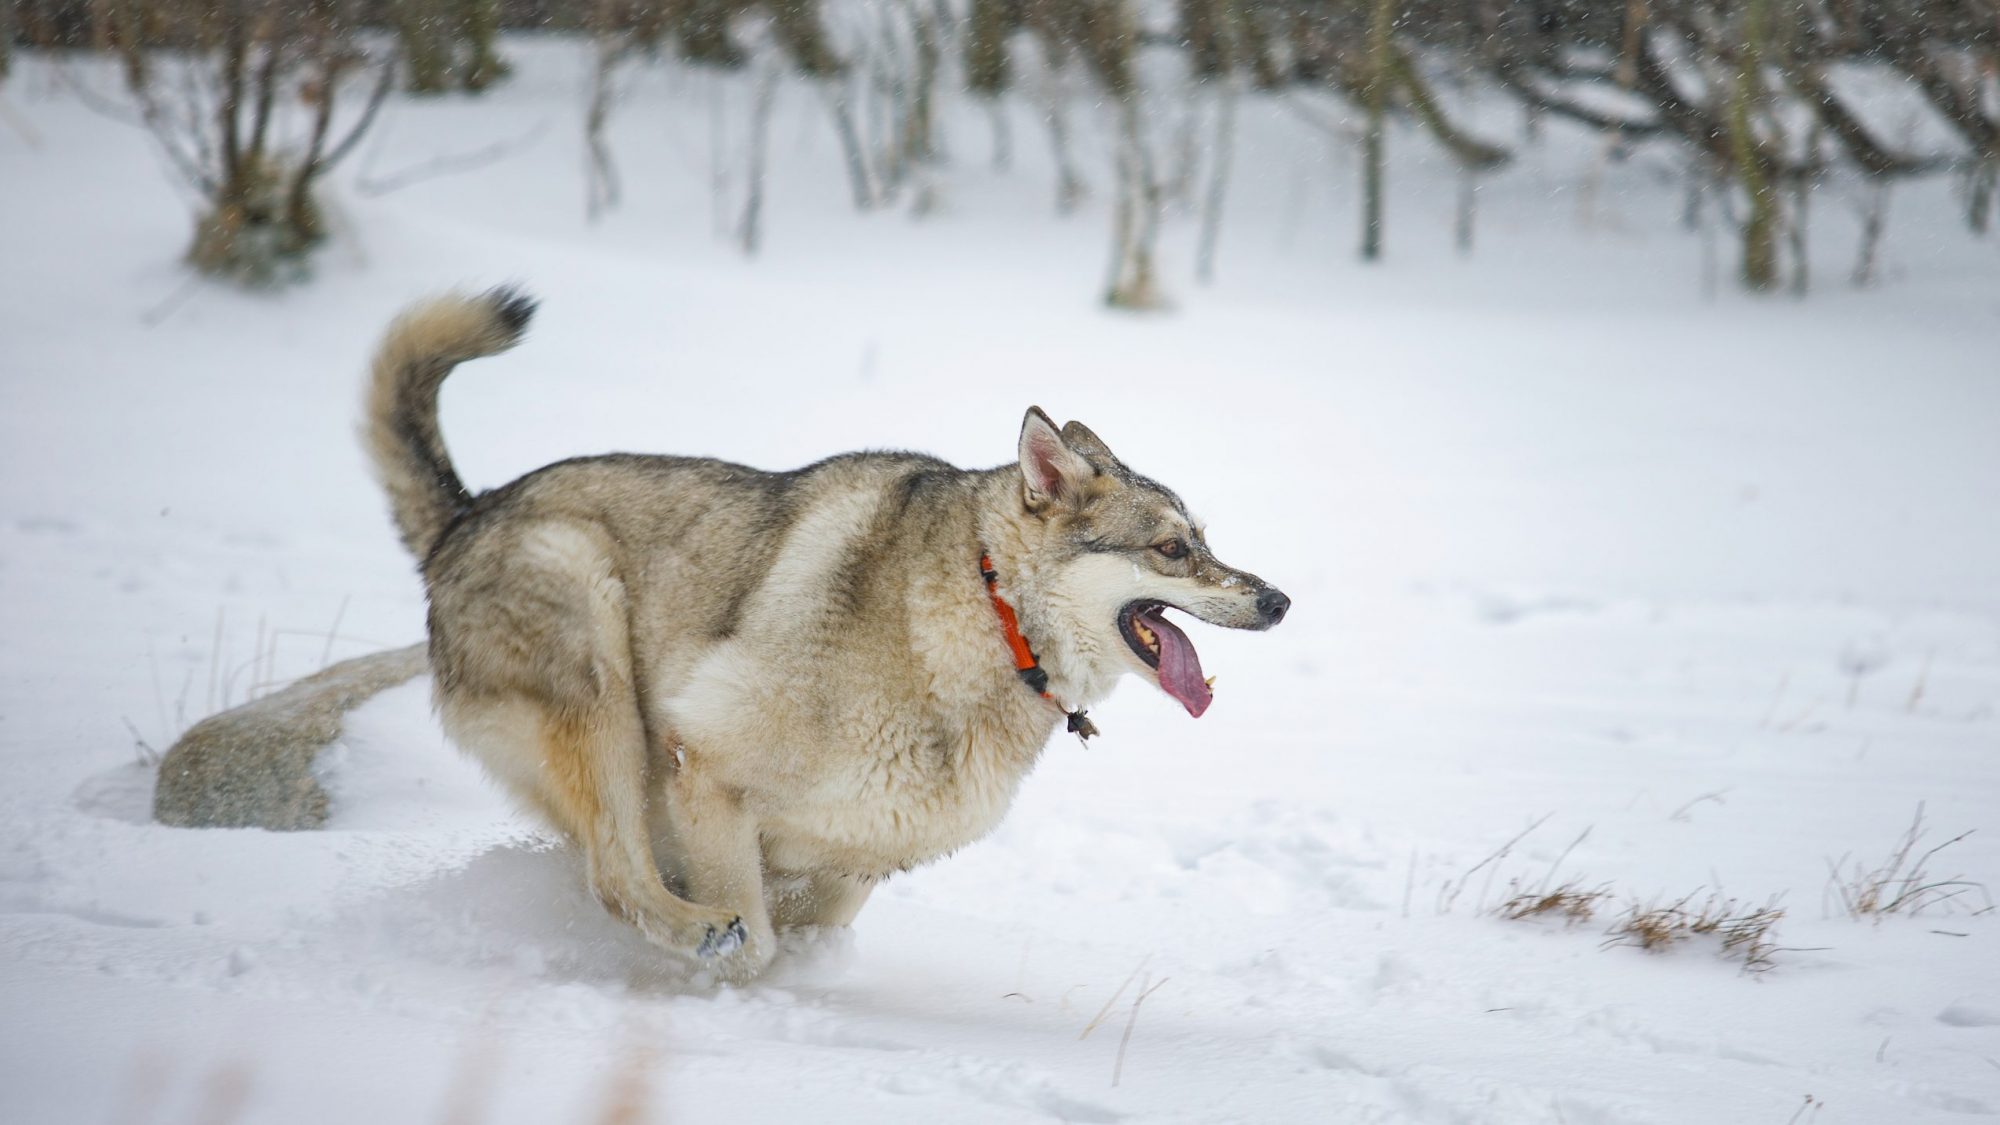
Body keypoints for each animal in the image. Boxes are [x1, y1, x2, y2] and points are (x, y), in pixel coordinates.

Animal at [364, 286, 1296, 972]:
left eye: (1206, 539)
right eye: (1172, 548)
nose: (1279, 600)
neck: (991, 616)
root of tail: (467, 514)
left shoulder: (859, 854)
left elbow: (810, 928)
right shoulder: (705, 765)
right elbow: (753, 942)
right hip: (593, 643)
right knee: (616, 876)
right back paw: (688, 927)